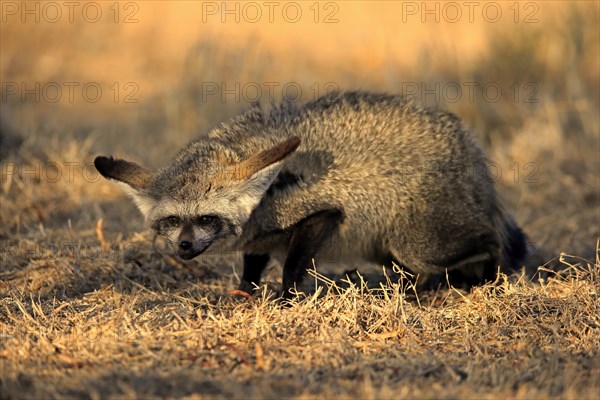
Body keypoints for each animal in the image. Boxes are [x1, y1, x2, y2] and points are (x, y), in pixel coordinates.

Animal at [94, 91, 524, 300]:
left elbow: (290, 268)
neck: (265, 200)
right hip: (392, 250)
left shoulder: (323, 214)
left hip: (420, 246)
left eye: (205, 219)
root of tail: (468, 145)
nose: (183, 246)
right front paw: (244, 295)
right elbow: (251, 270)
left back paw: (488, 281)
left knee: (491, 242)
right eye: (171, 221)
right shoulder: (261, 238)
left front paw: (286, 301)